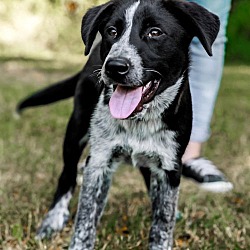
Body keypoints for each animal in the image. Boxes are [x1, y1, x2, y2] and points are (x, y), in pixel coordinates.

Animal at [17, 0, 219, 248]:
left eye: (155, 32)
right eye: (112, 31)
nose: (114, 66)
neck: (138, 121)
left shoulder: (170, 165)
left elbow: (163, 219)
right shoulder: (99, 161)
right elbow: (85, 217)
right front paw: (77, 241)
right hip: (76, 127)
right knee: (67, 174)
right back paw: (53, 219)